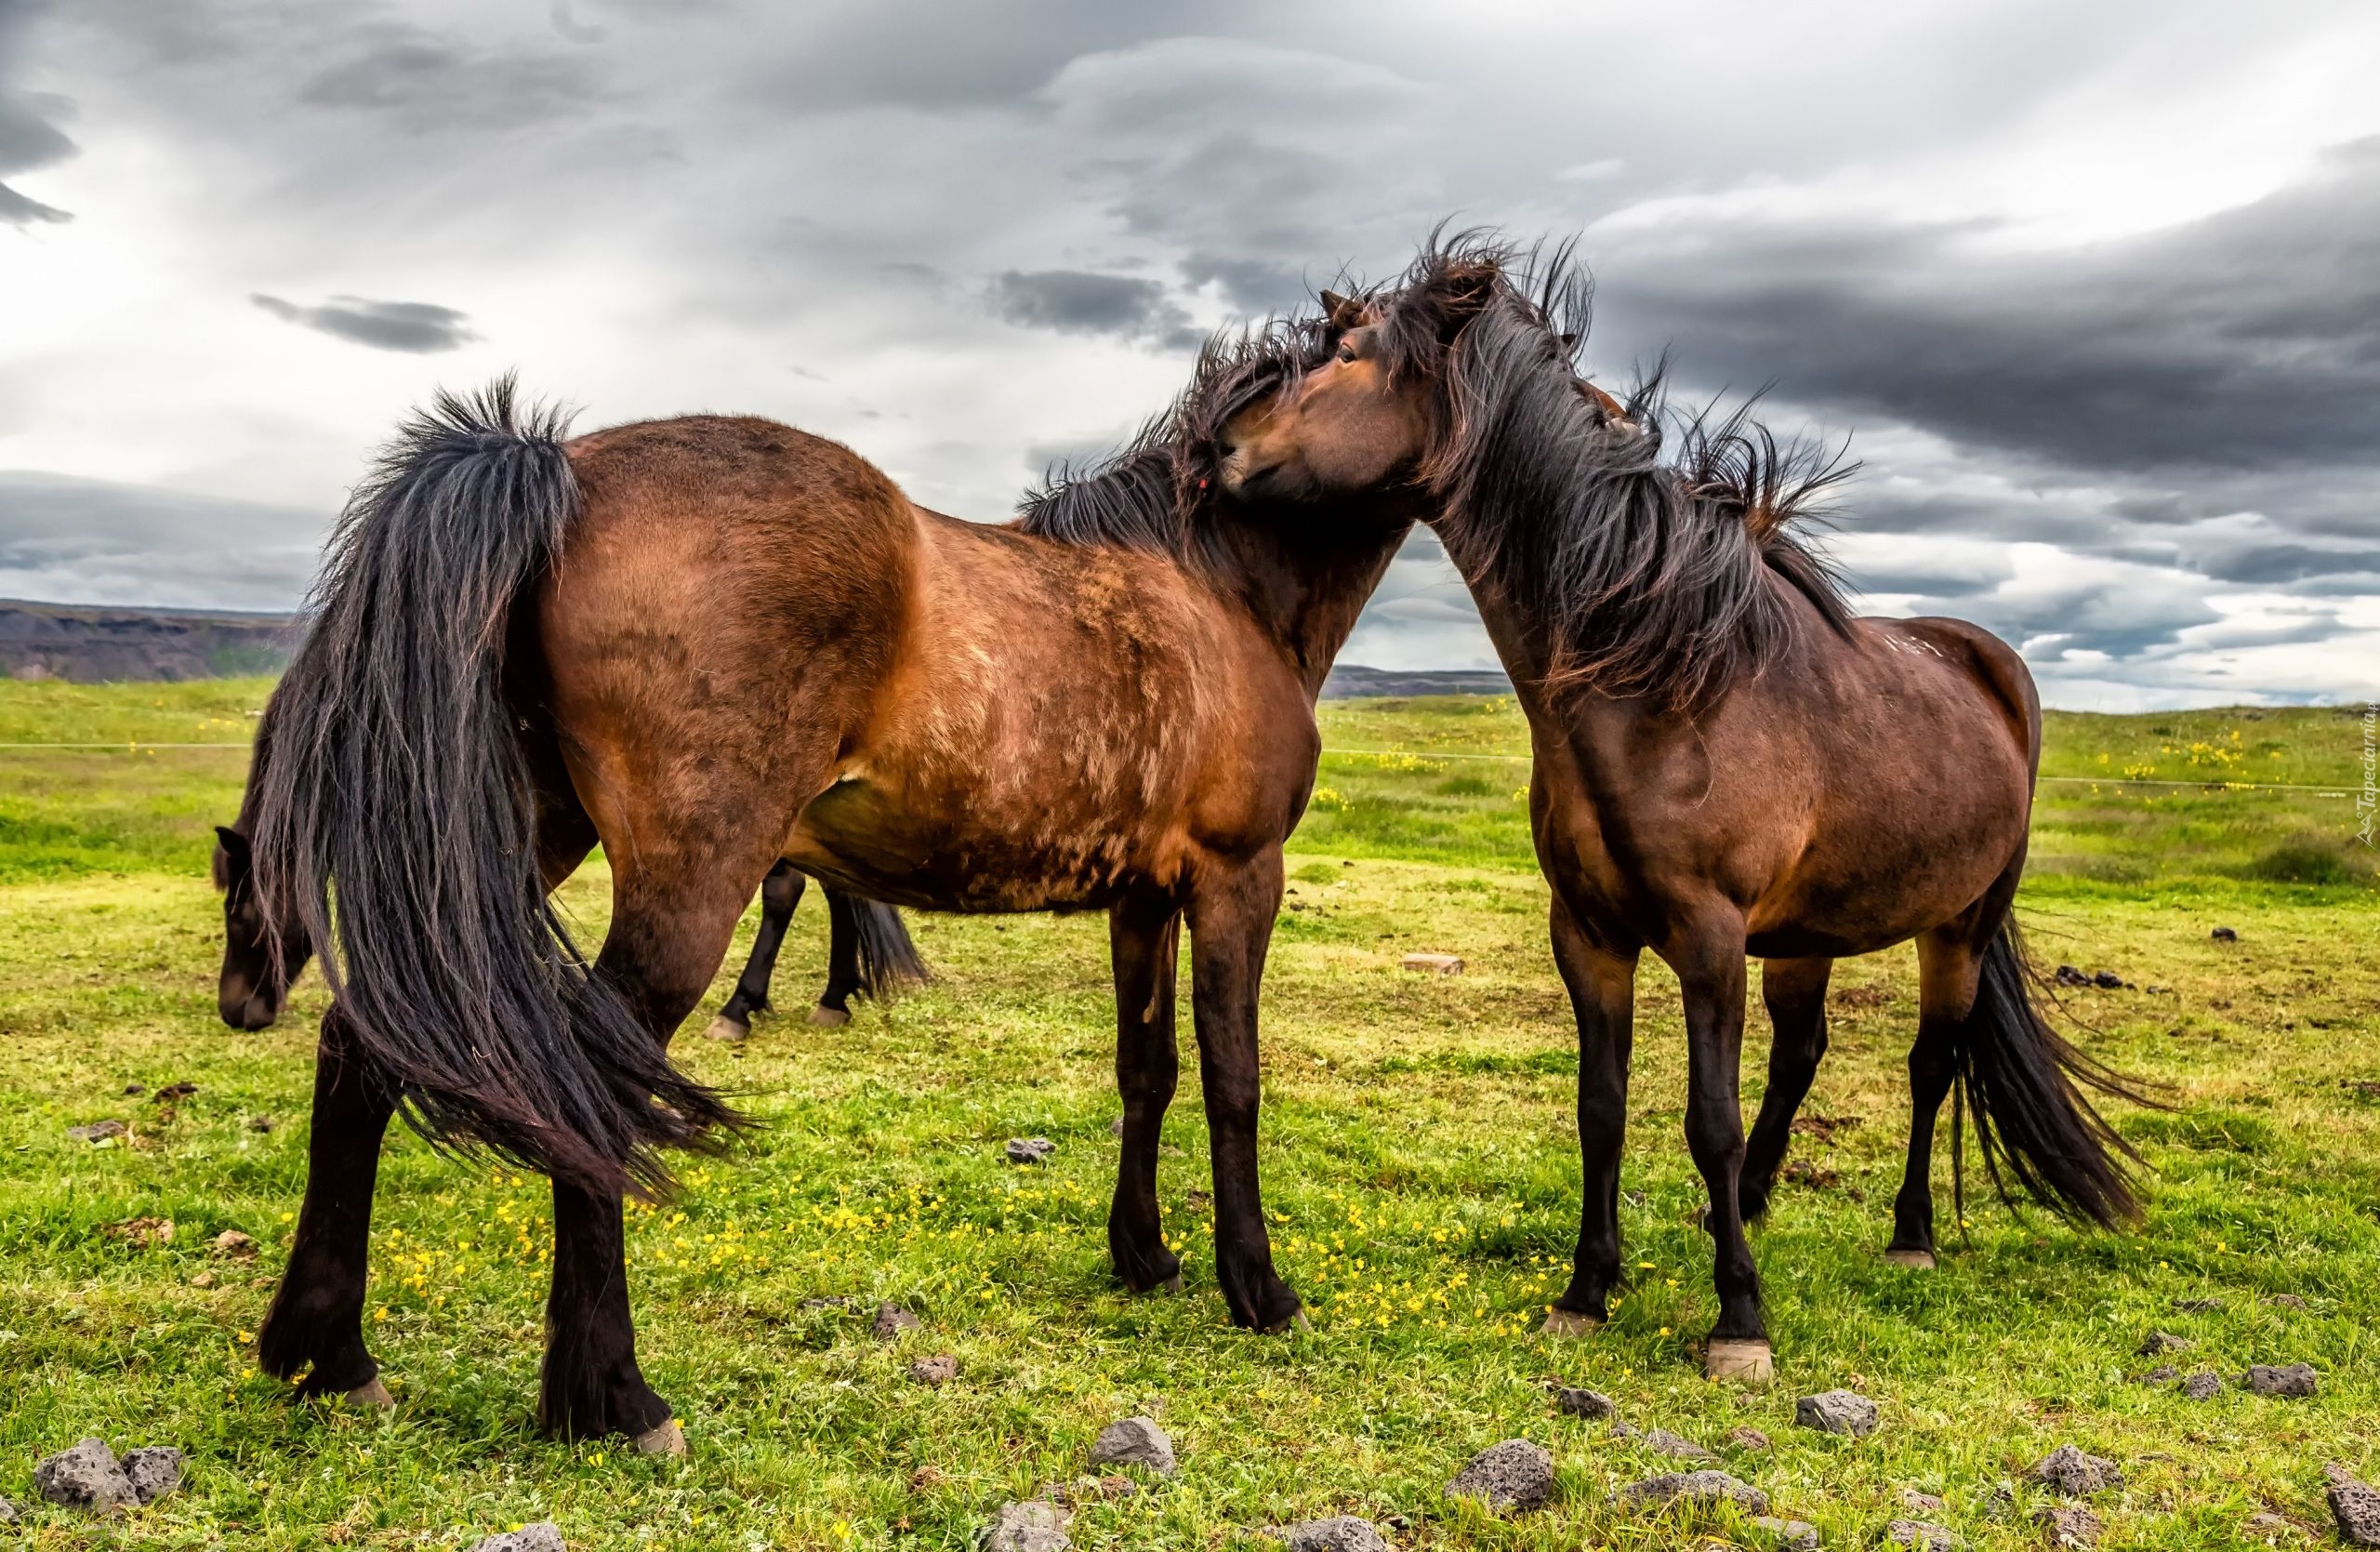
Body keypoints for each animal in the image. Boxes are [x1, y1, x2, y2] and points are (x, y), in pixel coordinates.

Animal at [245, 333, 1390, 1447]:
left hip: (515, 840)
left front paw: (1143, 1258)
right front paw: (1258, 1288)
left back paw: (327, 1357)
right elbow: (1233, 1077)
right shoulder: (1238, 875)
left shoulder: (1144, 894)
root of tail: (559, 466)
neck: (1219, 589)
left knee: (367, 1043)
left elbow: (1145, 1071)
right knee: (591, 1075)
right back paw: (615, 1400)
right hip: (687, 877)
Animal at [1209, 243, 2161, 1380]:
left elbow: (1709, 1117)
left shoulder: (1708, 937)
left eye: (1349, 355)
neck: (1657, 683)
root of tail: (1991, 667)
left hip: (1958, 926)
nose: (1220, 445)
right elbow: (1602, 1109)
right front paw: (1587, 1290)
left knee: (1930, 1065)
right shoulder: (1589, 933)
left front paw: (1738, 1322)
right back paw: (1743, 1205)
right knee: (1802, 1054)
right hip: (1808, 932)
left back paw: (1908, 1235)